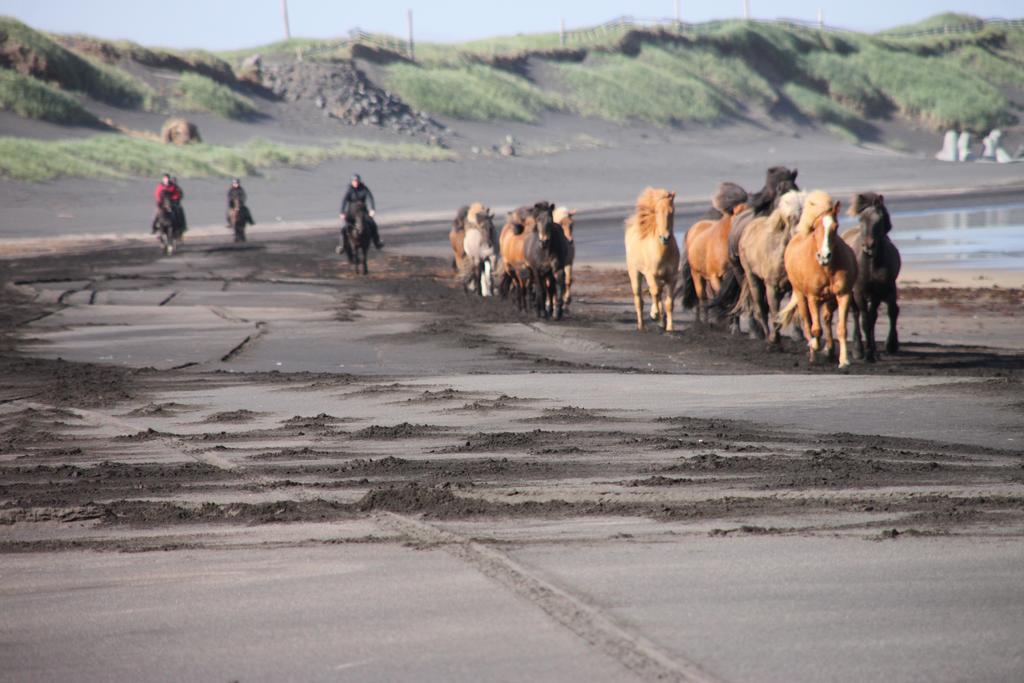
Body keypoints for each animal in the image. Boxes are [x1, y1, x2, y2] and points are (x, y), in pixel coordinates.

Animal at [622, 187, 679, 331]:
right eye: (657, 211)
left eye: (672, 211)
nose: (665, 237)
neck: (663, 252)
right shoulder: (650, 275)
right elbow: (655, 292)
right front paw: (655, 314)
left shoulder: (672, 278)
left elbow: (669, 303)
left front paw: (669, 327)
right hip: (635, 273)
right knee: (639, 299)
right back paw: (641, 325)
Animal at [737, 191, 806, 342]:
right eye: (792, 218)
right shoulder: (771, 287)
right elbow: (774, 314)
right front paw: (774, 340)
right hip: (753, 278)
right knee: (760, 308)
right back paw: (765, 335)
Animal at [778, 189, 860, 366]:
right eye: (815, 227)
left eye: (835, 226)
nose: (824, 256)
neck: (826, 269)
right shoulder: (813, 298)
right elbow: (815, 329)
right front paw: (814, 345)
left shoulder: (843, 295)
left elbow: (841, 329)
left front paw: (844, 360)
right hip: (801, 296)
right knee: (807, 322)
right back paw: (813, 353)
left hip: (829, 299)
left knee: (826, 319)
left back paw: (828, 350)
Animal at [843, 192, 901, 362]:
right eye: (861, 219)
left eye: (879, 219)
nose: (868, 246)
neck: (870, 265)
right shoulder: (859, 292)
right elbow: (864, 320)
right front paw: (867, 353)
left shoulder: (878, 291)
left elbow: (873, 318)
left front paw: (880, 348)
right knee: (855, 314)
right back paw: (858, 349)